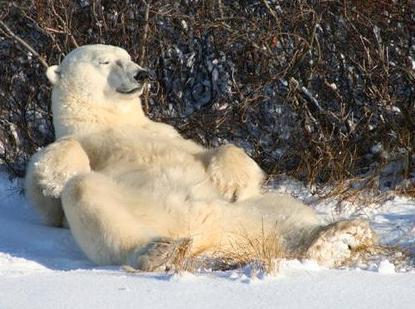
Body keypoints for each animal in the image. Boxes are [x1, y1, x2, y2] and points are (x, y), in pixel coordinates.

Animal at [26, 44, 376, 270]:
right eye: (105, 61)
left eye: (128, 56)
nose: (142, 74)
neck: (112, 121)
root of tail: (207, 237)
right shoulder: (84, 140)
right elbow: (48, 198)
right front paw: (57, 173)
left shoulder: (166, 133)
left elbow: (212, 150)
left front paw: (231, 181)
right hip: (146, 211)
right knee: (87, 194)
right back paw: (157, 251)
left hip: (244, 213)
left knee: (285, 213)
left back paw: (337, 236)